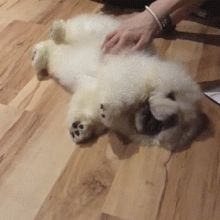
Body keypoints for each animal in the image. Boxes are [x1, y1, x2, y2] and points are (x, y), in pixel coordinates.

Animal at [31, 13, 202, 150]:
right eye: (172, 96)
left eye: (158, 129)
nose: (151, 123)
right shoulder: (125, 79)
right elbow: (120, 98)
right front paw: (109, 111)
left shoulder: (92, 91)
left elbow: (90, 112)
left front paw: (80, 129)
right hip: (95, 30)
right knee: (65, 32)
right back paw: (55, 31)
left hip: (59, 55)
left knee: (49, 48)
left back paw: (38, 56)